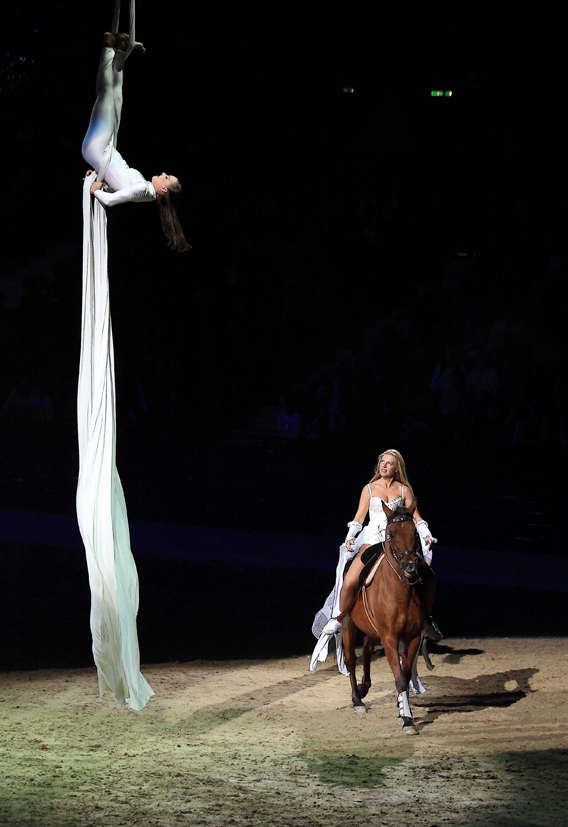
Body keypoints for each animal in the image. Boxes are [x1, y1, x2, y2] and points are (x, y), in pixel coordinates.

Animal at [342, 502, 434, 736]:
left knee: (367, 646)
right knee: (350, 659)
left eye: (415, 533)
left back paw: (364, 687)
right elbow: (400, 679)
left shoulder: (411, 637)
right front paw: (408, 720)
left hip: (374, 630)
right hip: (350, 625)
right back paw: (357, 700)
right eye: (391, 534)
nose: (410, 566)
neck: (401, 592)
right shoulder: (390, 637)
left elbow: (405, 674)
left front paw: (403, 712)